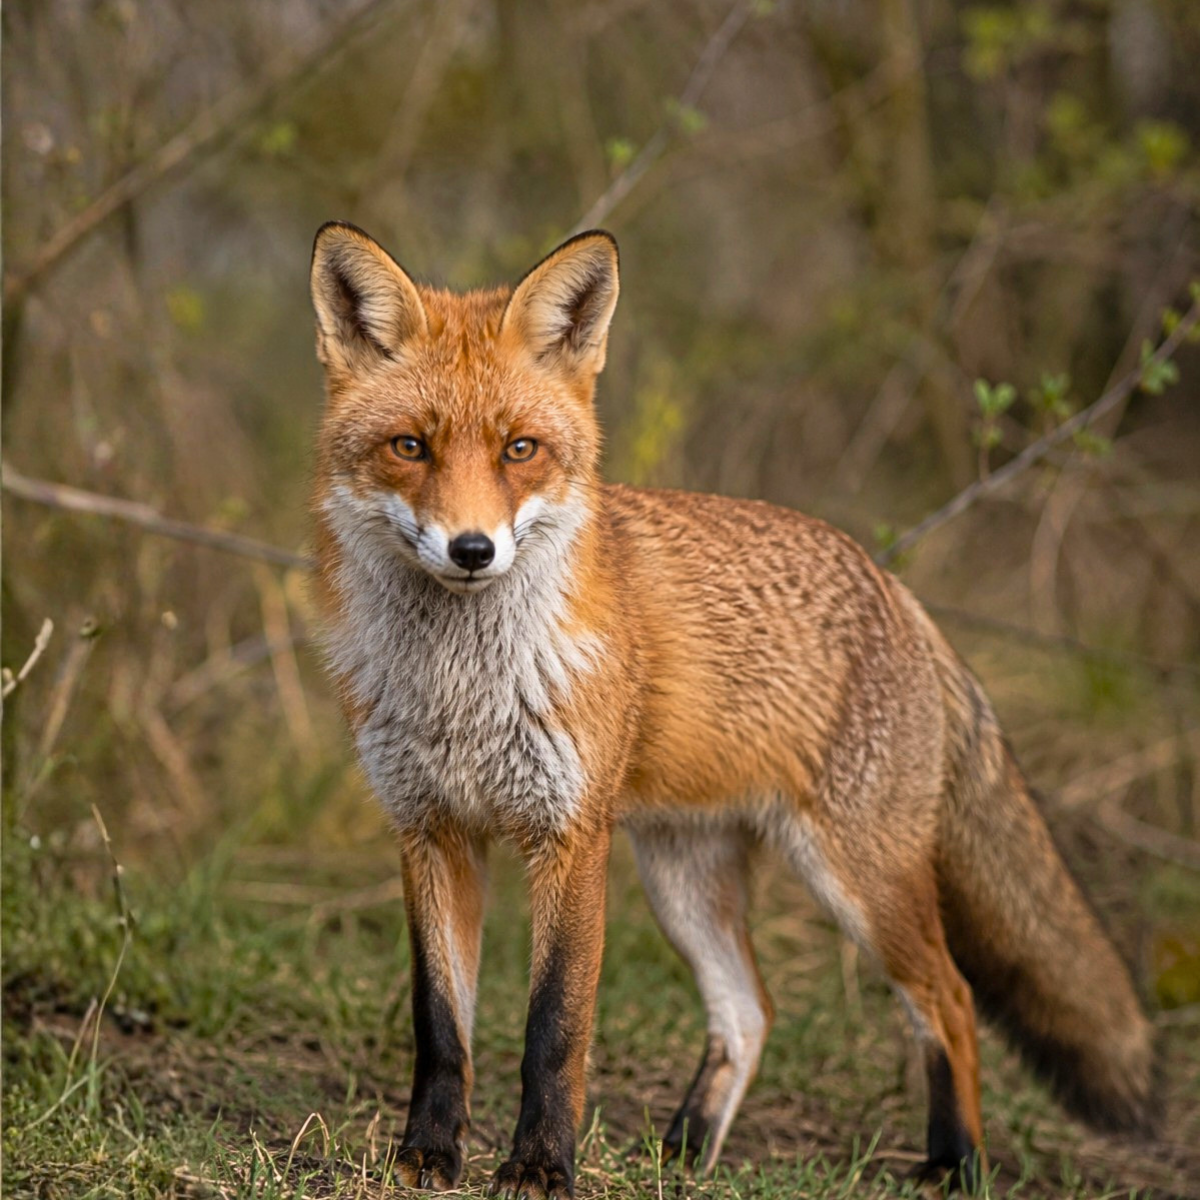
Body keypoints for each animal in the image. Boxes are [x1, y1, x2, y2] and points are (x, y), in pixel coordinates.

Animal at [307, 222, 1156, 1197]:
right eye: (410, 447)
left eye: (520, 449)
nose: (473, 549)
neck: (461, 692)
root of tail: (899, 592)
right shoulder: (430, 830)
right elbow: (441, 1026)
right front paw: (427, 1155)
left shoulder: (571, 836)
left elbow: (555, 1028)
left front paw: (541, 1166)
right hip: (687, 883)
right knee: (752, 1010)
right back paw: (686, 1149)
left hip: (859, 878)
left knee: (948, 997)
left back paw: (956, 1161)